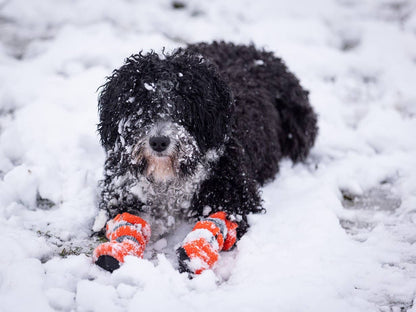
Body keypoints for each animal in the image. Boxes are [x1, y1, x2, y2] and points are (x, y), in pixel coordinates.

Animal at [96, 40, 316, 270]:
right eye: (140, 103)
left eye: (183, 104)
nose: (158, 142)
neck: (170, 178)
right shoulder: (122, 191)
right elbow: (128, 220)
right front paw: (119, 249)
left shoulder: (235, 194)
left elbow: (216, 221)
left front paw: (196, 252)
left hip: (300, 127)